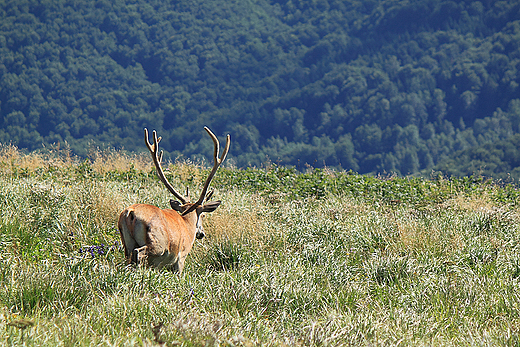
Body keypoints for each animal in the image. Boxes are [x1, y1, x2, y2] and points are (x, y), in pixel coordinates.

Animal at [121, 126, 231, 274]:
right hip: (157, 244)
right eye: (203, 215)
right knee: (138, 253)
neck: (187, 224)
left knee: (129, 256)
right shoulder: (181, 257)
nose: (202, 233)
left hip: (126, 242)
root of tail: (130, 213)